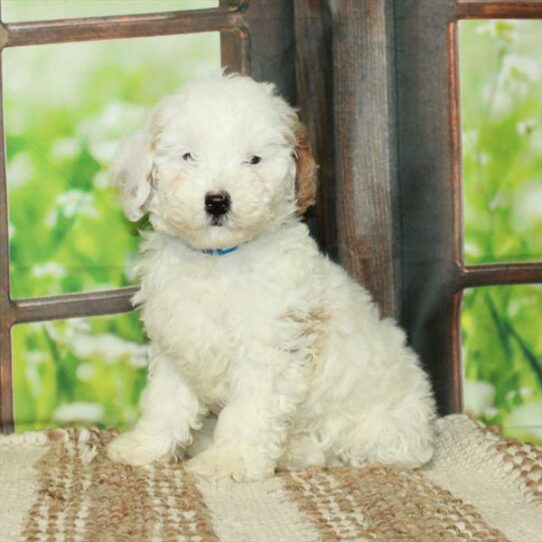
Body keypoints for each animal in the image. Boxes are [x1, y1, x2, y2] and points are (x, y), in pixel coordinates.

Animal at [107, 74, 438, 482]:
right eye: (188, 156)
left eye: (253, 160)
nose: (217, 201)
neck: (218, 260)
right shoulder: (175, 344)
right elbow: (165, 403)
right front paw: (145, 447)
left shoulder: (267, 351)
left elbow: (249, 412)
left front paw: (229, 461)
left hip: (375, 429)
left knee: (342, 451)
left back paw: (294, 453)